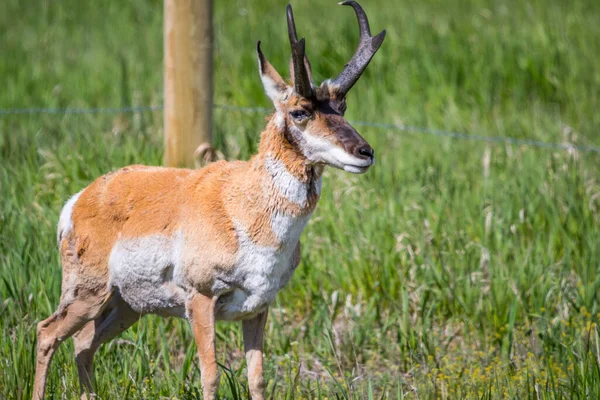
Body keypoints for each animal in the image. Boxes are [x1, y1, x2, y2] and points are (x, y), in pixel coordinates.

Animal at [32, 1, 384, 398]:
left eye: (342, 106)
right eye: (300, 112)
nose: (365, 152)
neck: (243, 206)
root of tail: (81, 198)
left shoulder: (258, 306)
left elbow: (257, 377)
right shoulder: (200, 299)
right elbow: (211, 374)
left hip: (126, 305)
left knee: (83, 344)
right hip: (88, 293)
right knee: (46, 333)